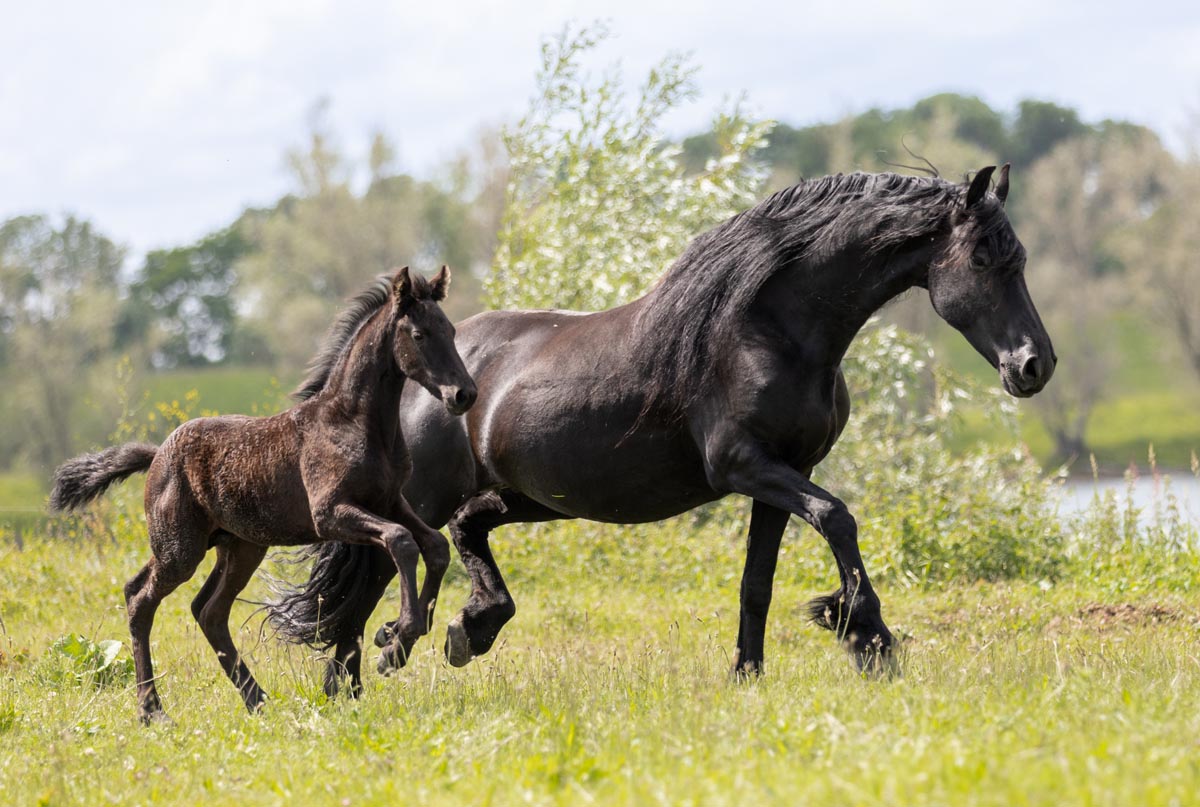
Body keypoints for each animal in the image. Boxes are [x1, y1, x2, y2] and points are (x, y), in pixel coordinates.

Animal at [50, 266, 472, 725]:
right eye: (418, 334)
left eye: (450, 329)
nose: (464, 394)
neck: (353, 422)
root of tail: (158, 453)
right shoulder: (331, 514)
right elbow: (401, 541)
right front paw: (399, 634)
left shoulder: (391, 502)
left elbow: (434, 545)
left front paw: (395, 636)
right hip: (181, 549)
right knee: (140, 598)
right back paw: (152, 710)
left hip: (240, 546)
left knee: (208, 610)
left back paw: (257, 700)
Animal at [270, 165, 1051, 691]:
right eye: (983, 257)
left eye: (1020, 257)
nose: (1034, 365)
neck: (766, 329)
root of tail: (415, 369)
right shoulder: (743, 464)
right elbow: (838, 518)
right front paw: (868, 637)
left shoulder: (782, 475)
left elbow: (758, 582)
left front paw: (748, 675)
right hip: (426, 496)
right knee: (377, 571)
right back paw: (362, 673)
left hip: (527, 498)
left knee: (464, 533)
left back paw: (463, 631)